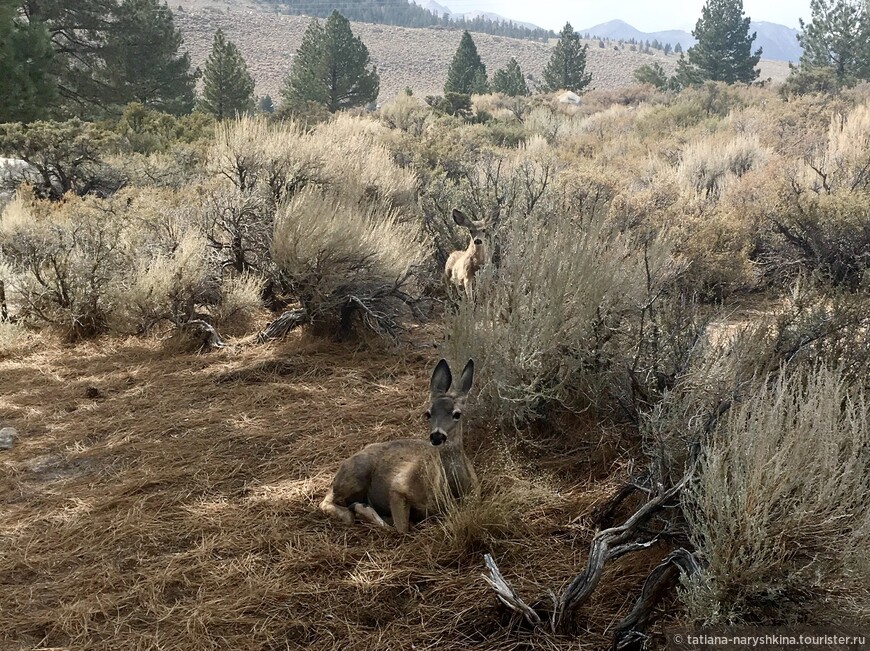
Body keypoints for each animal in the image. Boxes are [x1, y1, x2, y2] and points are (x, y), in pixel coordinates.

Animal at [324, 360, 480, 532]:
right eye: (428, 413)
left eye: (457, 414)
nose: (437, 436)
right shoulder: (398, 487)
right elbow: (401, 528)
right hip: (356, 473)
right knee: (329, 501)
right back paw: (354, 511)